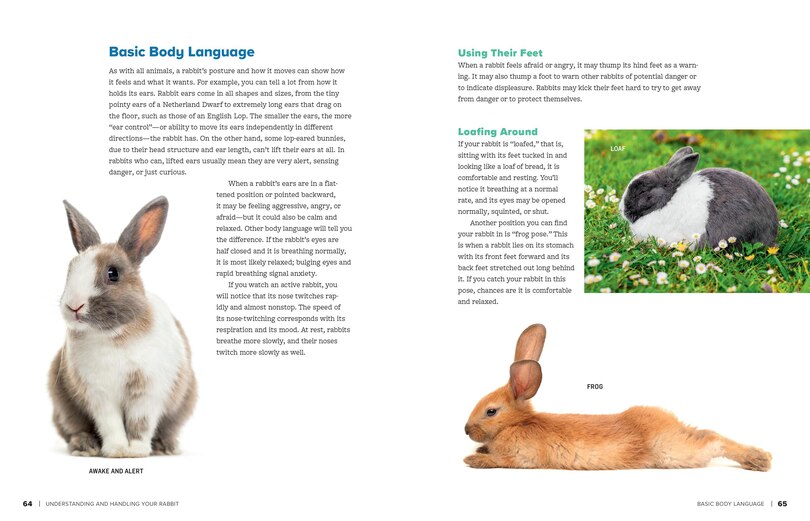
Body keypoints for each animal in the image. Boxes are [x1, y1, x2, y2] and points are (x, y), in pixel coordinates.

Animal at [48, 196, 197, 458]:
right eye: (70, 270)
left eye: (113, 273)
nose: (73, 306)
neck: (114, 335)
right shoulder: (99, 395)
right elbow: (111, 424)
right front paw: (117, 450)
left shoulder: (148, 392)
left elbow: (141, 424)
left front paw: (135, 451)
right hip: (63, 406)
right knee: (73, 429)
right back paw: (85, 446)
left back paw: (166, 447)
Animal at [464, 324, 771, 471]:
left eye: (491, 411)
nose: (466, 430)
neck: (517, 424)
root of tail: (672, 425)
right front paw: (478, 452)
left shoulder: (521, 458)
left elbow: (501, 461)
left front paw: (473, 460)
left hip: (673, 452)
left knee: (713, 440)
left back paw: (759, 459)